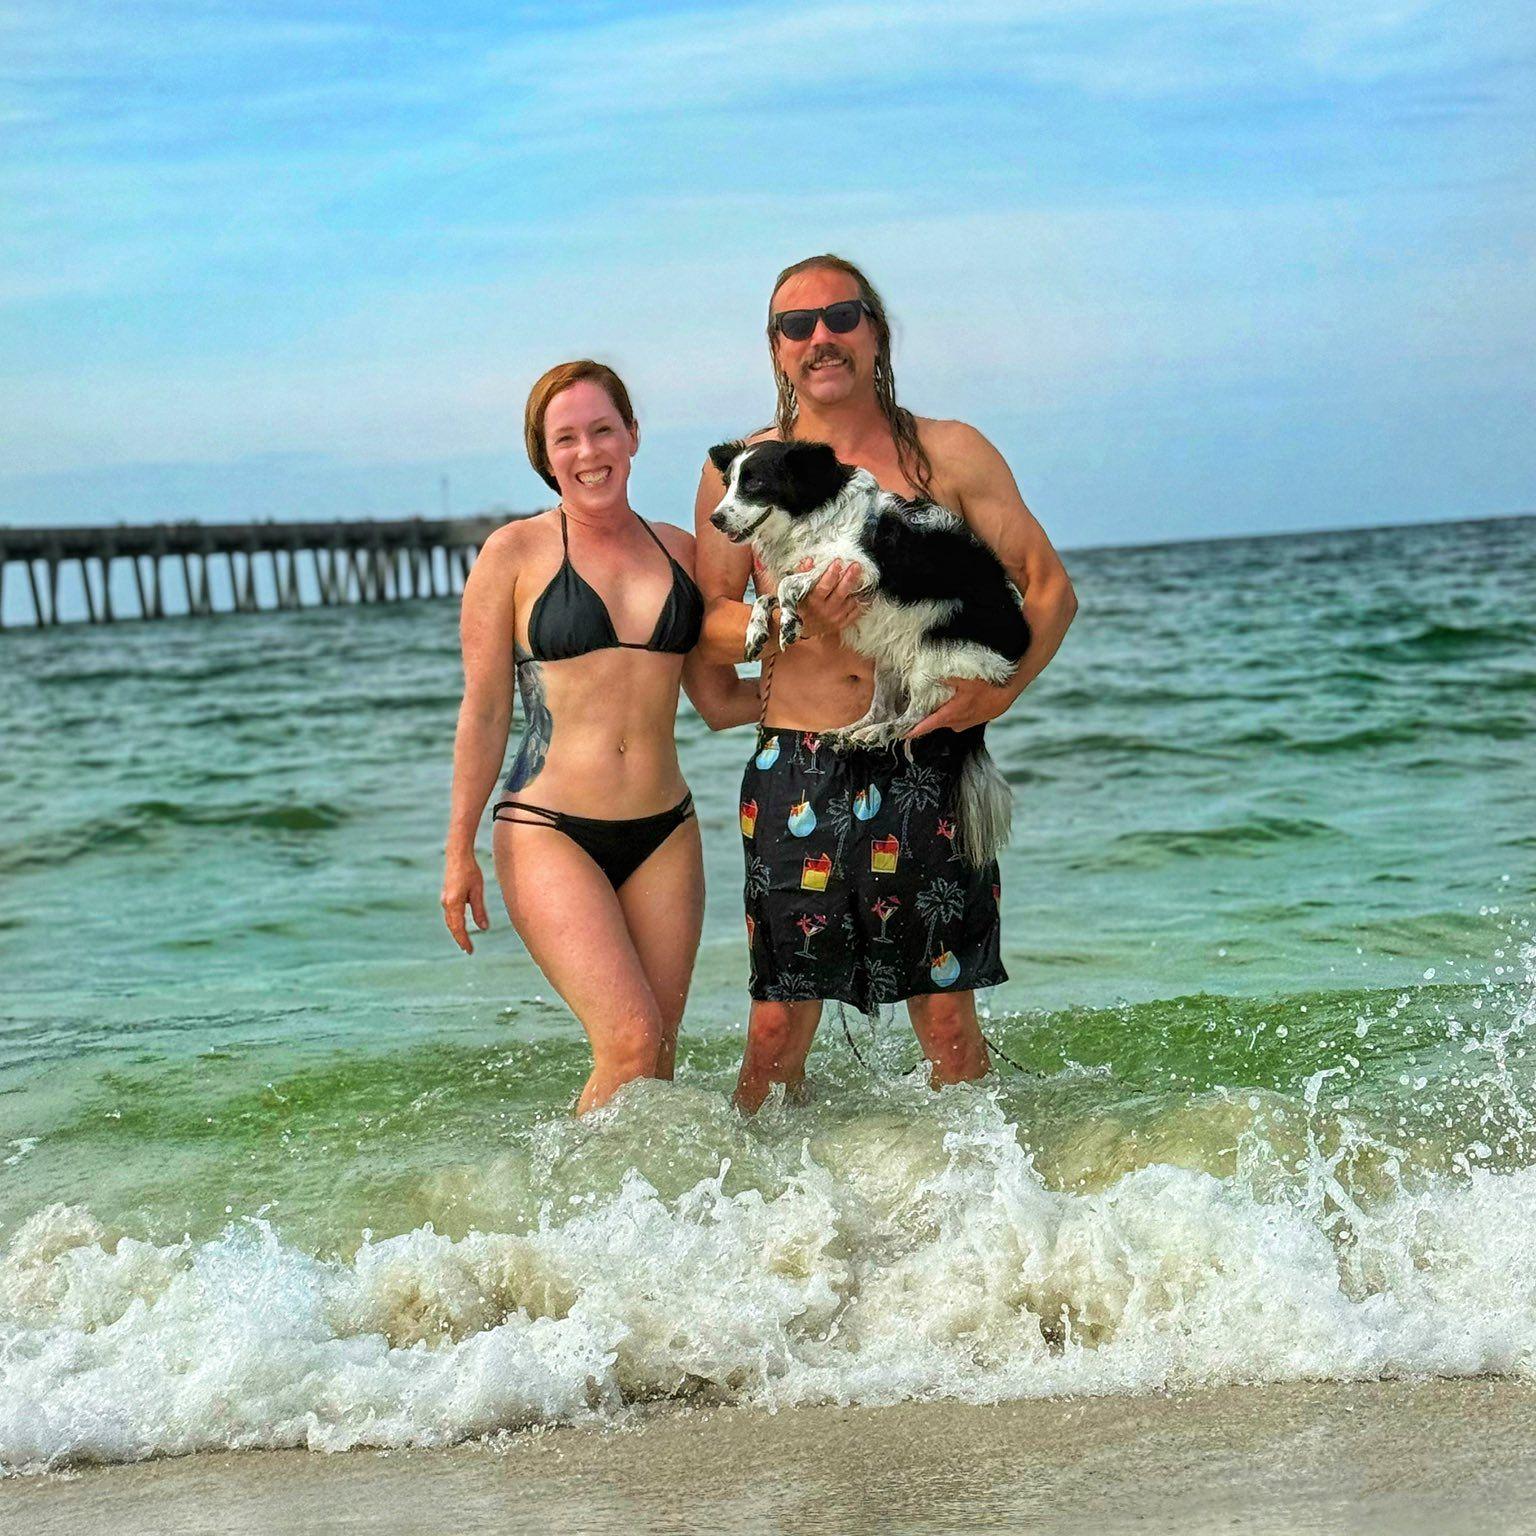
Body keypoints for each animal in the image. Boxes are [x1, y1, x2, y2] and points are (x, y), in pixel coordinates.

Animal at [708, 438, 1029, 867]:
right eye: (728, 482)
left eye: (754, 483)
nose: (714, 519)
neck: (814, 514)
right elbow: (767, 595)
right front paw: (759, 628)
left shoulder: (857, 565)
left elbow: (790, 585)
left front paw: (790, 620)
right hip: (888, 658)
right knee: (883, 707)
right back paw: (853, 731)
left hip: (934, 650)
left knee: (916, 715)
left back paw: (878, 734)